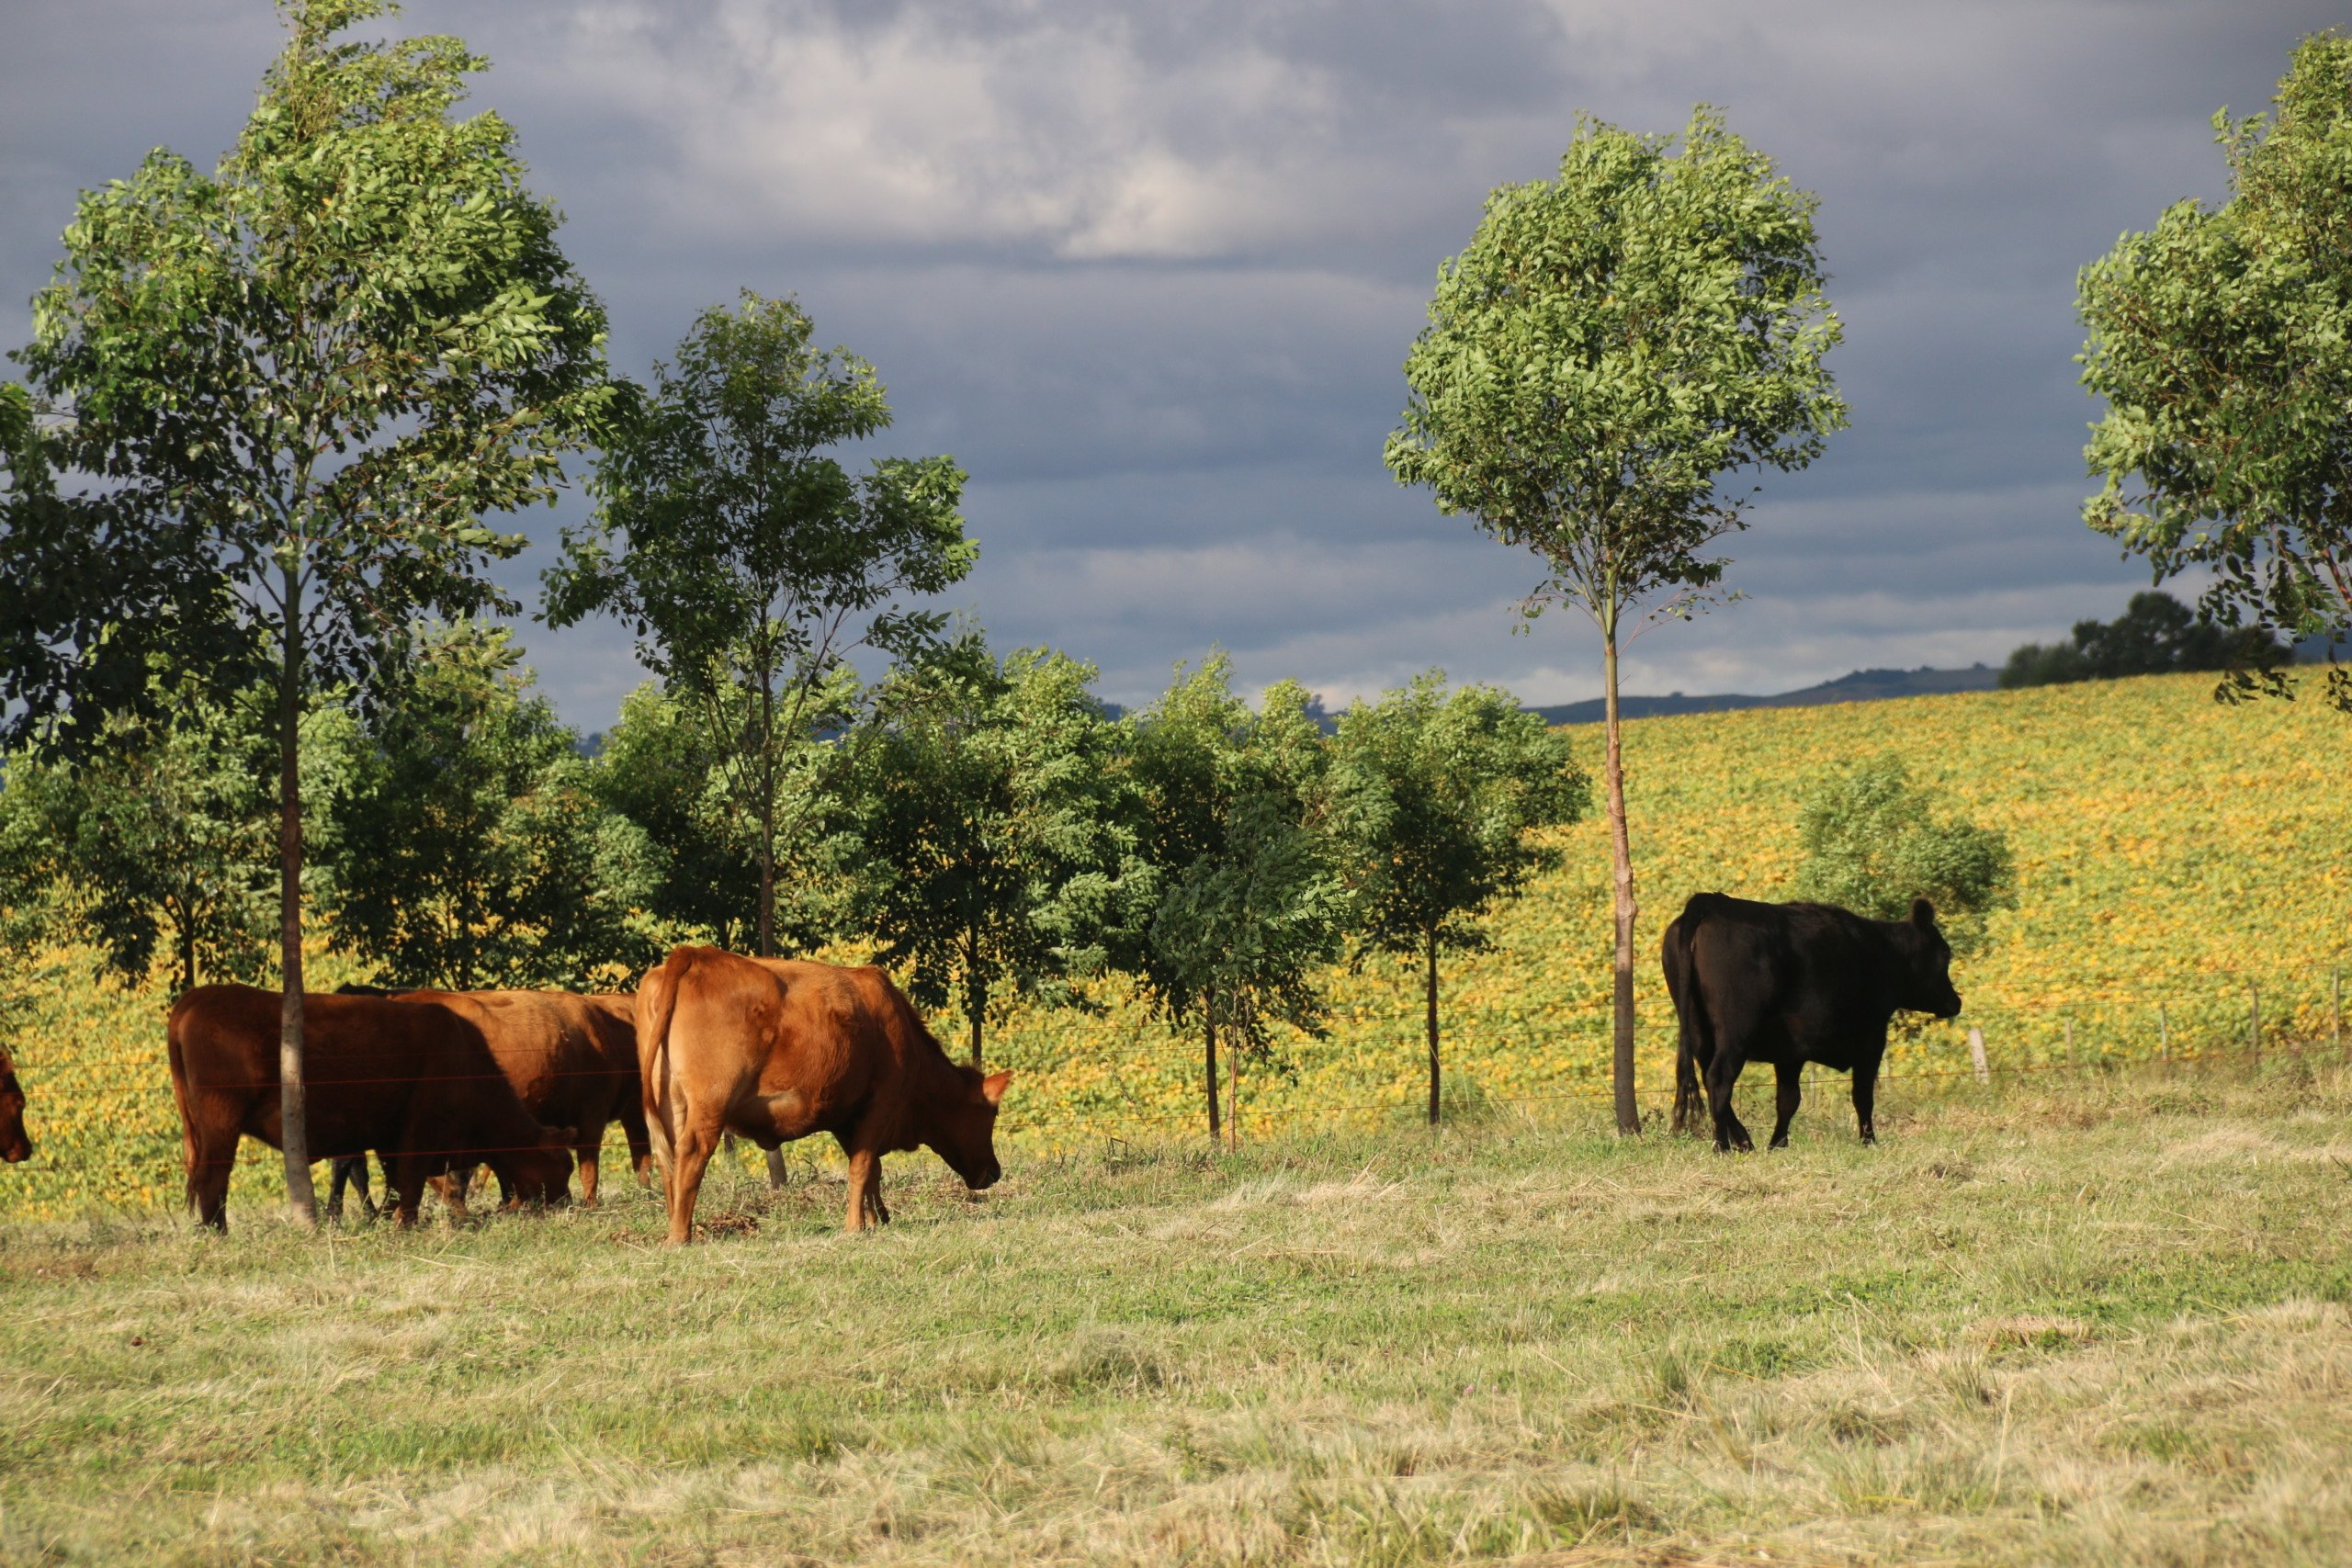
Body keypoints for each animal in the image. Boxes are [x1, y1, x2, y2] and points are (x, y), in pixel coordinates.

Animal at [166, 987, 578, 1232]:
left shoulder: (389, 1137)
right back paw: (218, 1233)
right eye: (564, 1165)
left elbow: (395, 1181)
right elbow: (408, 1181)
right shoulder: (418, 1129)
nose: (569, 1205)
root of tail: (200, 997)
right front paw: (403, 1224)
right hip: (220, 1119)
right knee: (213, 1178)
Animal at [635, 949, 1011, 1241]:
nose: (995, 1171)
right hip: (711, 1101)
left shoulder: (848, 1116)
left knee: (669, 1159)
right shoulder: (882, 1101)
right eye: (990, 1114)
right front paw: (855, 1227)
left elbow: (871, 1169)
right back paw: (680, 1235)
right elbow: (862, 1167)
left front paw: (876, 1219)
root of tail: (694, 955)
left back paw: (673, 1223)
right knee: (691, 1154)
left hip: (671, 1104)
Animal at [1656, 893, 1966, 1152]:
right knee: (1719, 1079)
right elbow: (1862, 1094)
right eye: (1945, 954)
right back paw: (1722, 1146)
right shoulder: (1871, 1038)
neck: (1883, 952)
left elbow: (1788, 1099)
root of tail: (1712, 902)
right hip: (1736, 1030)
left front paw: (1777, 1144)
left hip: (1697, 1029)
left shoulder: (1789, 1051)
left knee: (1710, 1078)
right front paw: (1868, 1141)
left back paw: (1745, 1142)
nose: (1956, 1002)